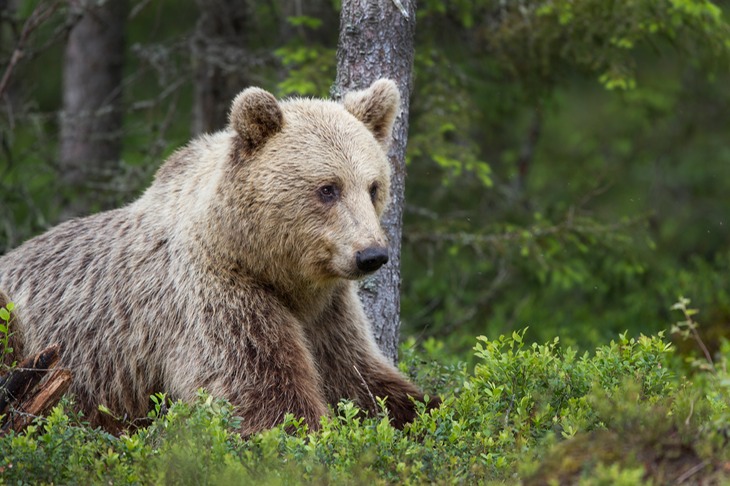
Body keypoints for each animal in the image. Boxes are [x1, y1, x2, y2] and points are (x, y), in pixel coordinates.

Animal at [0, 79, 436, 432]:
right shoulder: (214, 298)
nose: (372, 254)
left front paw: (424, 412)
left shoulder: (328, 314)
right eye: (328, 188)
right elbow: (262, 397)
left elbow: (363, 380)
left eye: (373, 186)